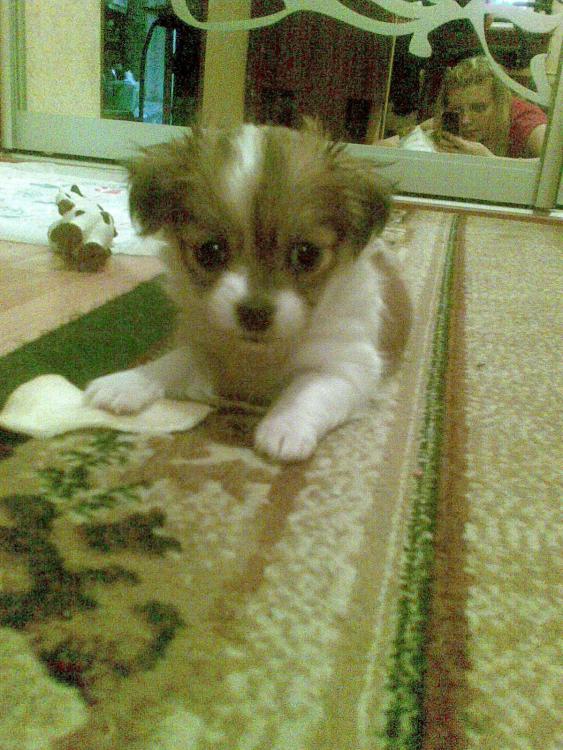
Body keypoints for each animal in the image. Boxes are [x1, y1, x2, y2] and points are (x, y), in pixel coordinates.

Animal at [84, 121, 412, 462]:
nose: (255, 314)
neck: (259, 355)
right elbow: (175, 361)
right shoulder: (207, 345)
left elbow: (309, 390)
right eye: (209, 251)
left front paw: (286, 425)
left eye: (307, 254)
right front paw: (131, 381)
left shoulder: (346, 366)